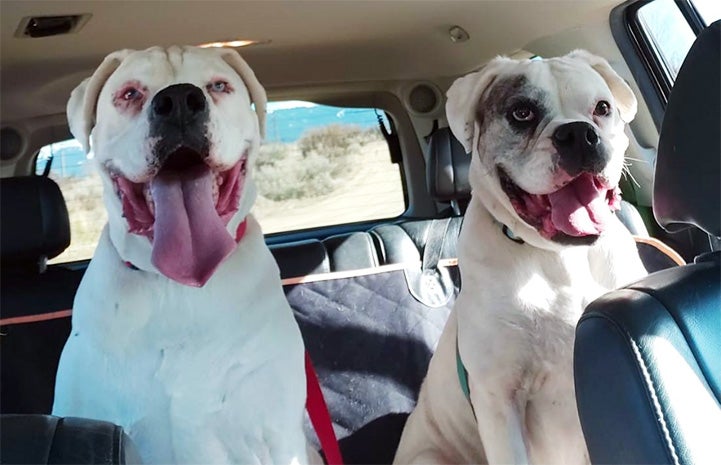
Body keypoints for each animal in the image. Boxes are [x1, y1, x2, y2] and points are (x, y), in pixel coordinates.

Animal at [394, 50, 648, 464]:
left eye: (602, 108)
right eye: (522, 113)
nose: (578, 133)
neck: (560, 259)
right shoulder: (498, 398)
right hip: (429, 456)